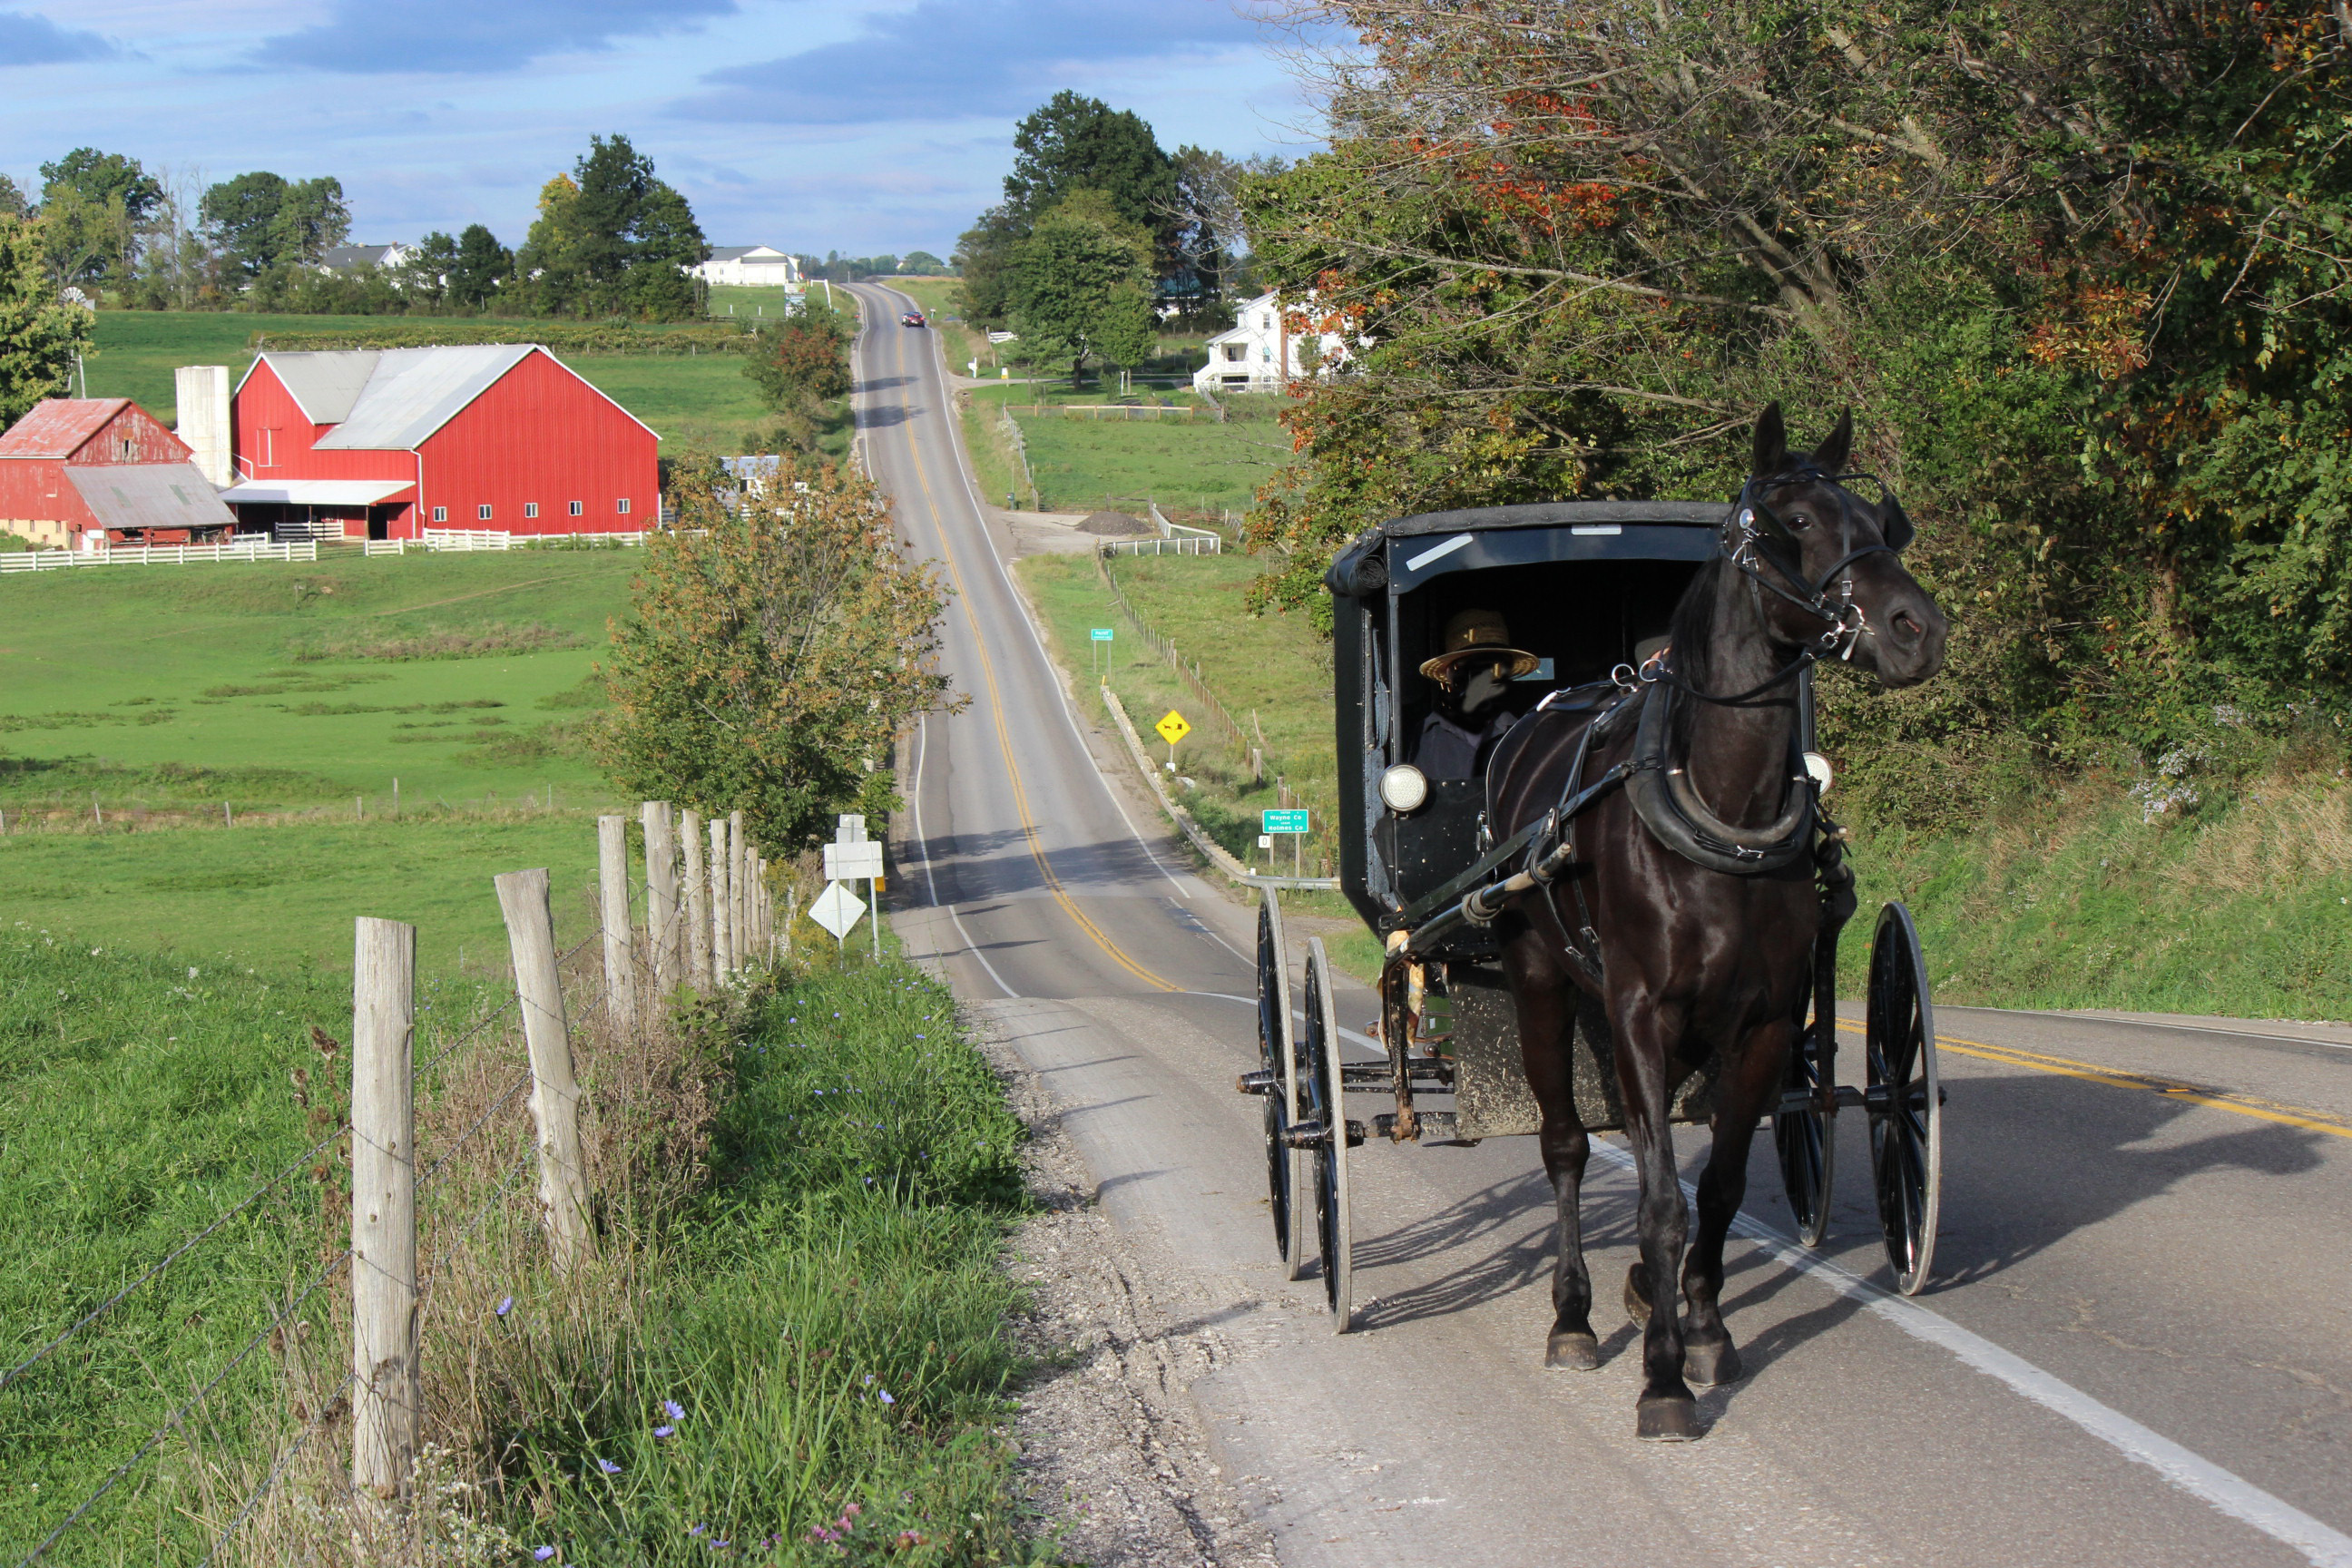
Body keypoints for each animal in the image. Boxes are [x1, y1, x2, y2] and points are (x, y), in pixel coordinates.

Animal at [1486, 408, 1947, 1447]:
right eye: (1792, 524)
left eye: (1881, 523)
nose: (1920, 629)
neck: (1722, 812)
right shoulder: (1640, 1013)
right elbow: (1659, 1203)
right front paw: (1662, 1378)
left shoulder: (1766, 1023)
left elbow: (1721, 1190)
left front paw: (1701, 1327)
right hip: (1541, 979)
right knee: (1567, 1146)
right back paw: (1574, 1314)